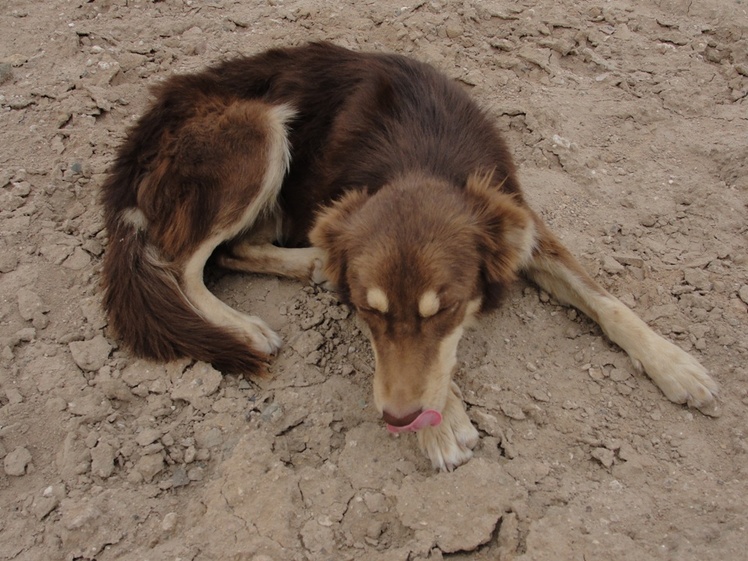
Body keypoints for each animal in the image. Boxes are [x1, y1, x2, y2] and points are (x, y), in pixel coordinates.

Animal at [101, 42, 720, 468]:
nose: (400, 421)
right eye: (366, 311)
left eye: (444, 310)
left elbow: (605, 300)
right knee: (185, 263)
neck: (418, 152)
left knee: (232, 249)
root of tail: (142, 131)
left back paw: (309, 261)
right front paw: (442, 423)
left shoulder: (520, 219)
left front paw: (673, 363)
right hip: (260, 128)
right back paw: (246, 324)